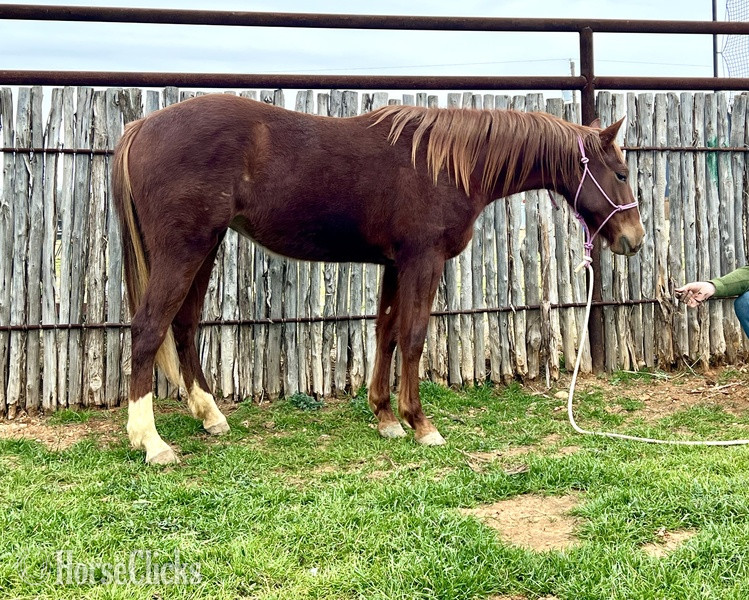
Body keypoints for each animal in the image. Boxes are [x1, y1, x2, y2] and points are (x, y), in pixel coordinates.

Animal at [113, 93, 644, 464]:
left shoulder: (394, 264)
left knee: (184, 325)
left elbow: (386, 333)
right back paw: (151, 441)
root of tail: (140, 127)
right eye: (620, 172)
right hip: (183, 250)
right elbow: (413, 336)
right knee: (149, 329)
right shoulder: (423, 261)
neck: (446, 163)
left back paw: (210, 416)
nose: (634, 239)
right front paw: (421, 424)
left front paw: (386, 418)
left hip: (204, 249)